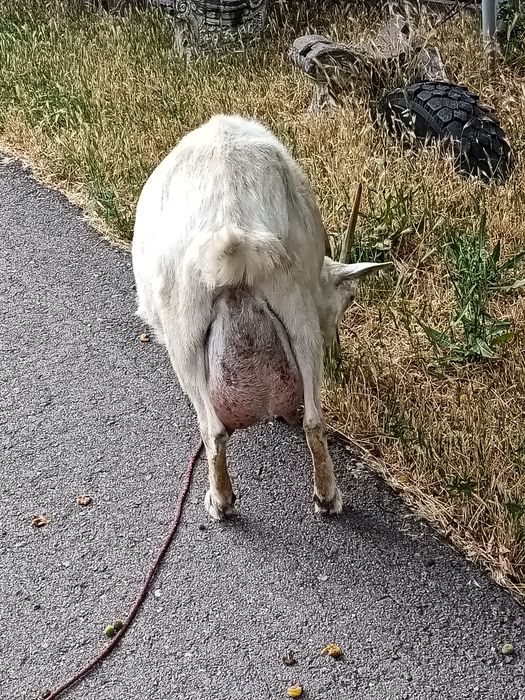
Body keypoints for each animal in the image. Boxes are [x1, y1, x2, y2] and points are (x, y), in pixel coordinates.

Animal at [132, 114, 389, 520]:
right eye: (347, 300)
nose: (337, 348)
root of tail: (233, 237)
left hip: (182, 331)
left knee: (212, 430)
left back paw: (221, 501)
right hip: (296, 313)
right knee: (313, 420)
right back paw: (326, 498)